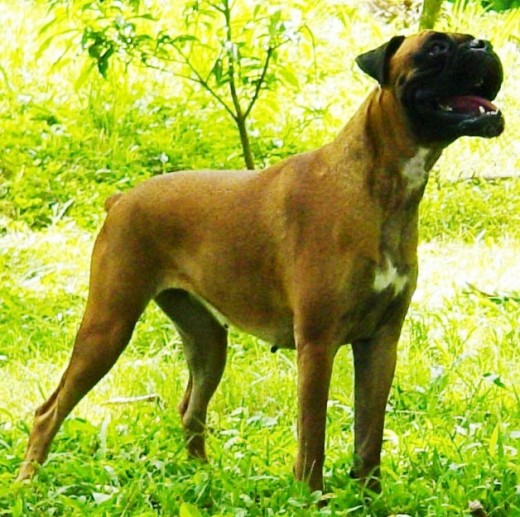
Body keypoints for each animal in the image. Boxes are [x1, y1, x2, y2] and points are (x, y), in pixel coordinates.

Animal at [17, 31, 504, 492]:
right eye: (436, 47)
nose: (485, 44)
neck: (380, 183)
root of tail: (120, 199)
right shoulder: (317, 344)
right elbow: (313, 437)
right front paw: (313, 499)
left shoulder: (381, 343)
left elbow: (369, 438)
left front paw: (370, 499)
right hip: (108, 326)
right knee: (49, 411)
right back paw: (27, 482)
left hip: (207, 342)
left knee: (190, 409)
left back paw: (201, 478)